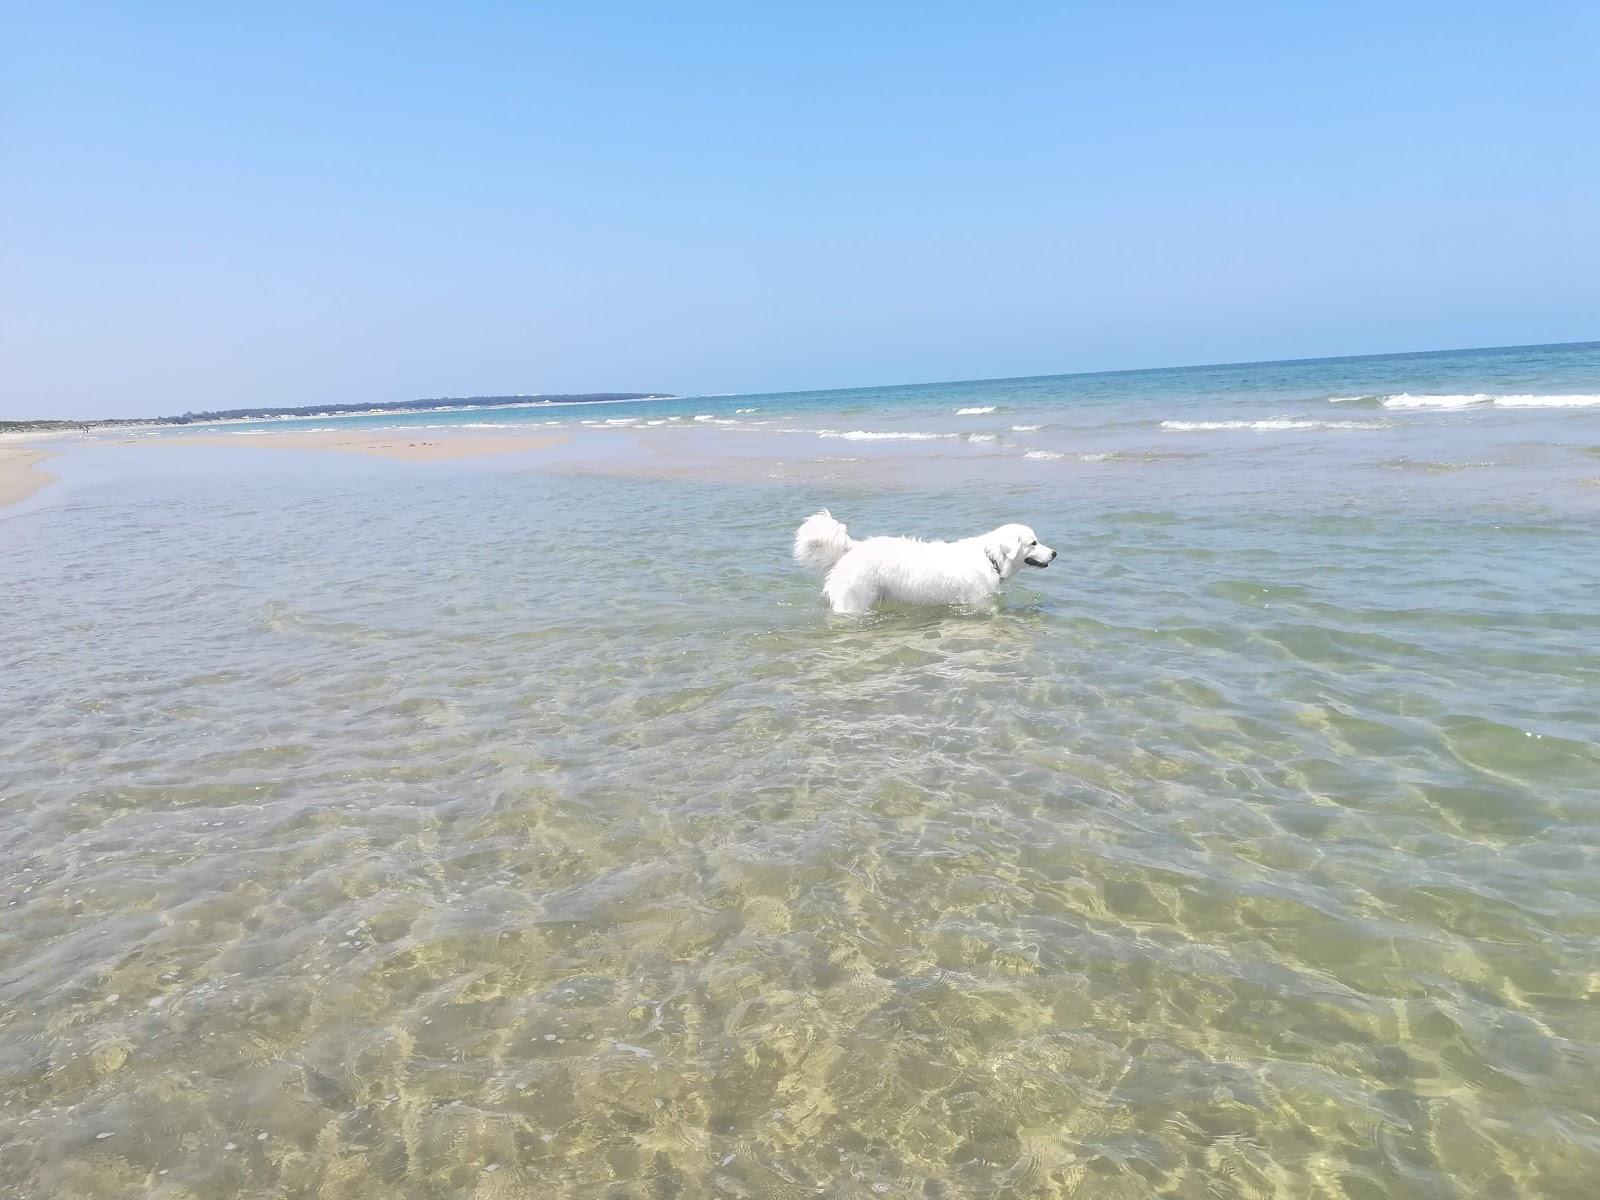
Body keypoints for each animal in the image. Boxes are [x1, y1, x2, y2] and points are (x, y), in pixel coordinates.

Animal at [793, 508, 1056, 614]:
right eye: (1034, 543)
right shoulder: (977, 602)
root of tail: (854, 547)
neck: (989, 557)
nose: (1054, 553)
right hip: (854, 603)